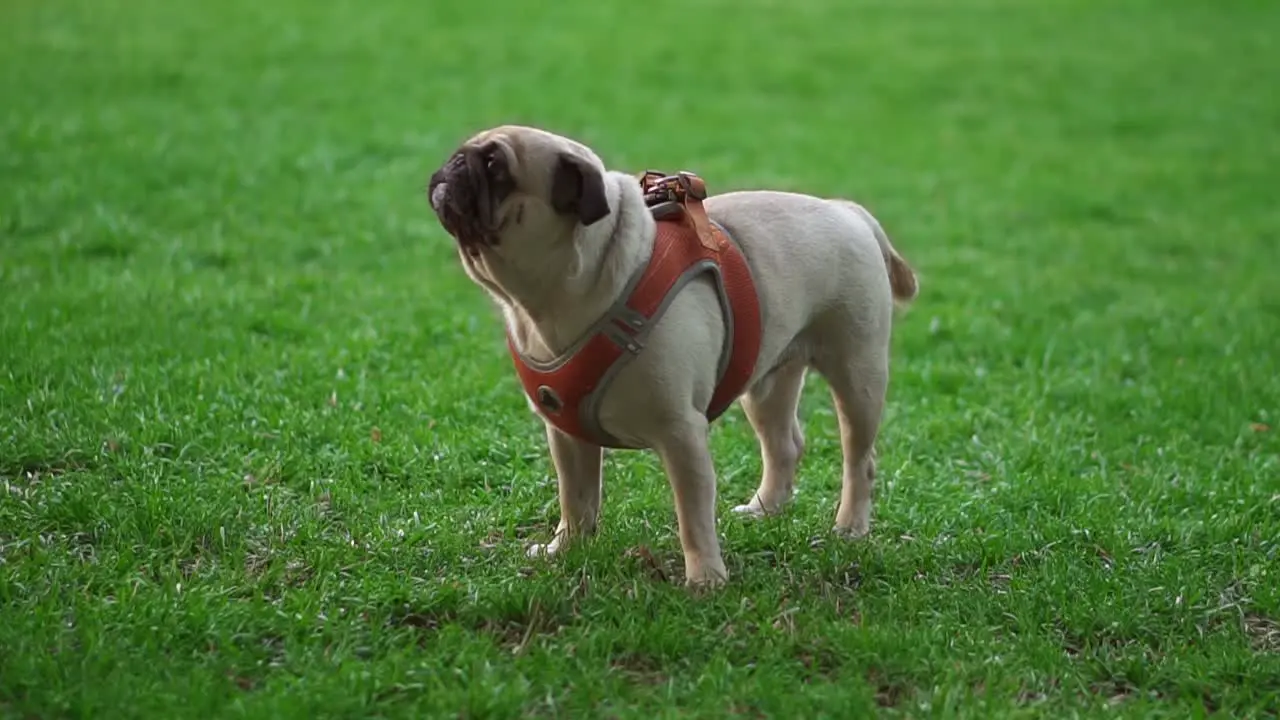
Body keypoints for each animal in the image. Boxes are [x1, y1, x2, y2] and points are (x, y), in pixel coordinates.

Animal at [430, 122, 921, 584]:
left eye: (495, 167)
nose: (451, 165)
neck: (549, 301)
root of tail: (848, 211)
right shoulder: (567, 435)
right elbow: (577, 499)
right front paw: (566, 549)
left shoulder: (681, 432)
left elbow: (693, 514)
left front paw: (706, 579)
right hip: (767, 382)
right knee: (784, 446)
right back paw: (764, 509)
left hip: (857, 373)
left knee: (859, 458)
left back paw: (850, 527)